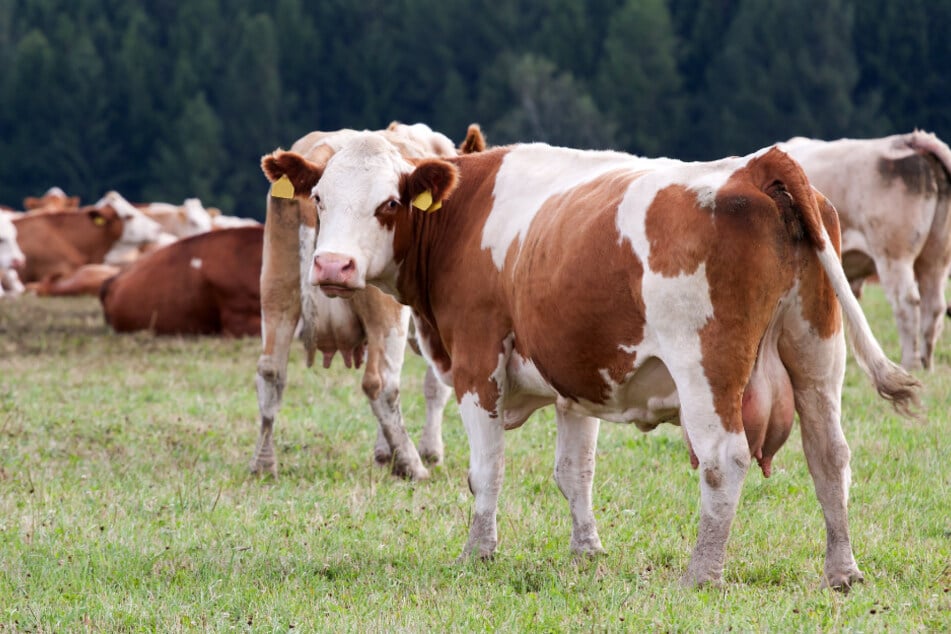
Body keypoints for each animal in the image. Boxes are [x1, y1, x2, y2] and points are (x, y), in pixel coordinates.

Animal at [249, 122, 484, 478]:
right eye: (320, 198)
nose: (332, 264)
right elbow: (436, 385)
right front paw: (428, 452)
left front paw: (385, 453)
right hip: (386, 314)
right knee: (382, 383)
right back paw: (413, 466)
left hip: (277, 284)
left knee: (271, 370)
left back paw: (263, 463)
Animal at [780, 132, 951, 370]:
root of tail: (910, 140)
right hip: (936, 258)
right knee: (933, 306)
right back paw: (926, 362)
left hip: (893, 256)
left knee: (907, 303)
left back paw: (911, 362)